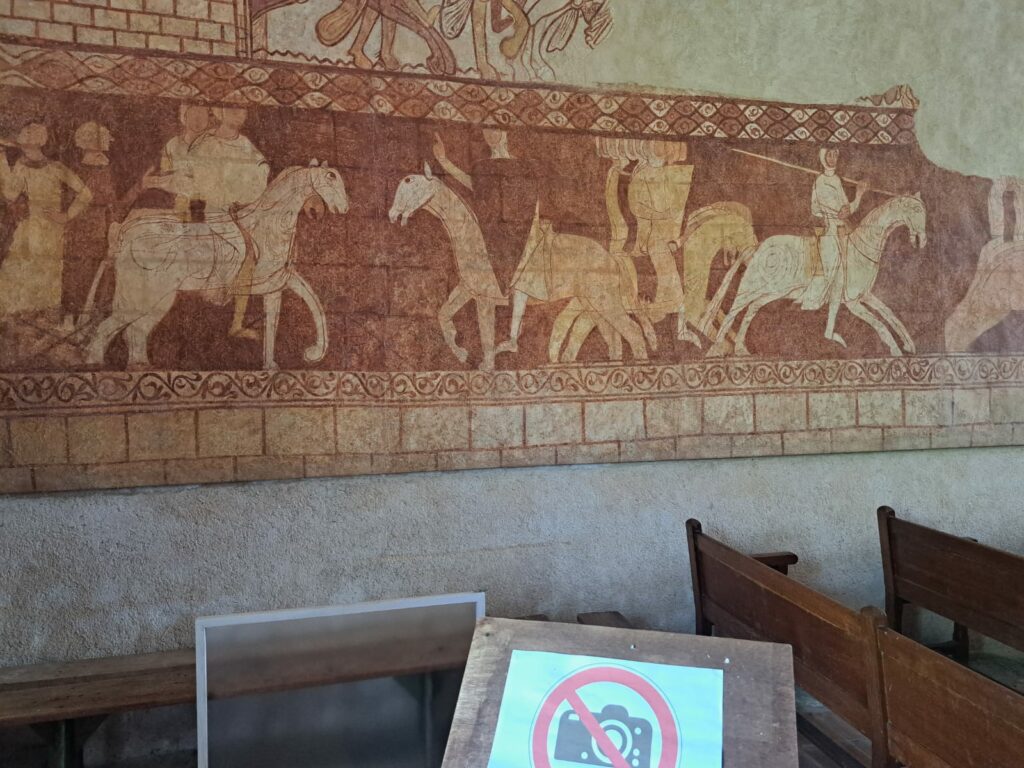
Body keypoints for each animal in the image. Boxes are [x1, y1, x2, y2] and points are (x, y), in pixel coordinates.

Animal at [86, 163, 348, 370]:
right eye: (331, 178)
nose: (343, 209)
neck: (269, 224)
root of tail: (123, 231)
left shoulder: (278, 282)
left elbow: (287, 313)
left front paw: (272, 365)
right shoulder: (262, 278)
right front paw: (312, 353)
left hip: (158, 298)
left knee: (136, 330)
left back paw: (139, 366)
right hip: (145, 295)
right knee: (109, 327)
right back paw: (95, 364)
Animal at [704, 194, 927, 358]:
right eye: (916, 211)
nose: (922, 240)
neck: (859, 249)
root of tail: (758, 247)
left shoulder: (864, 296)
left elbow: (889, 313)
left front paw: (909, 345)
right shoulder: (852, 302)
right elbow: (878, 323)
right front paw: (895, 350)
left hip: (775, 292)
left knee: (752, 309)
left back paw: (741, 349)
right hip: (751, 286)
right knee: (734, 310)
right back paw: (716, 350)